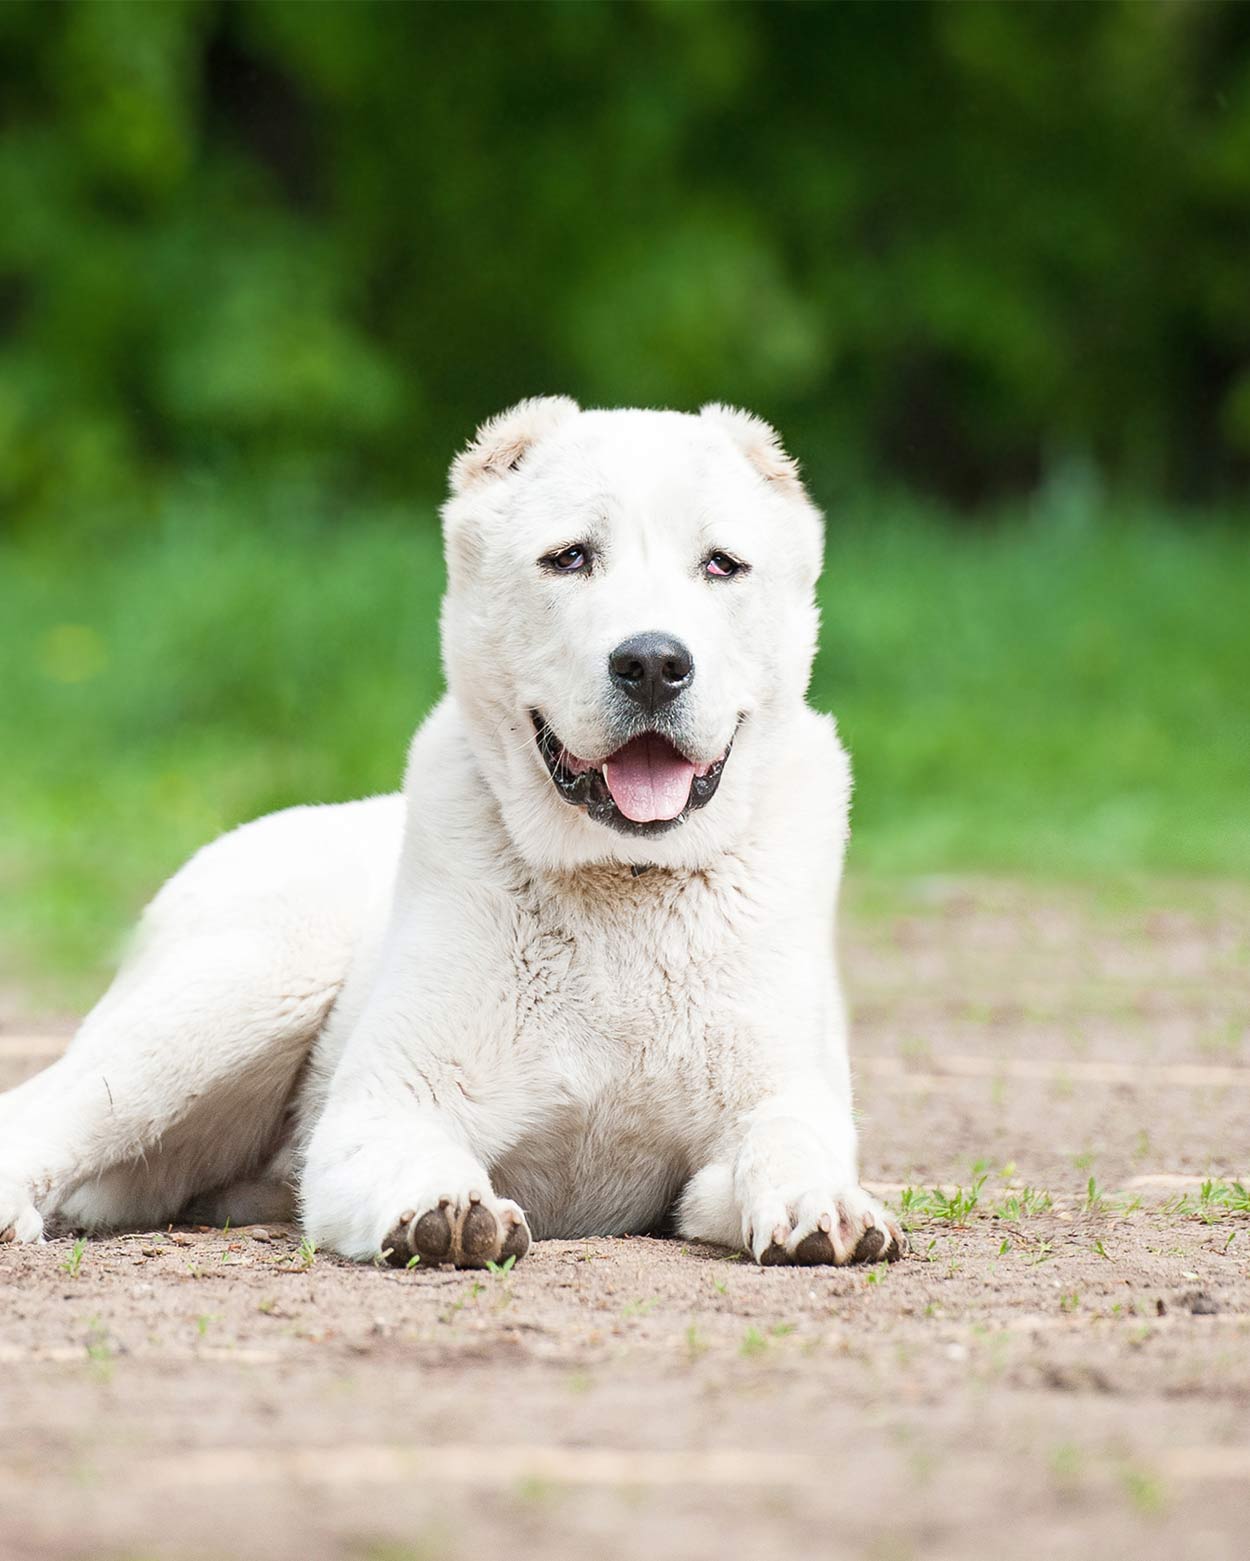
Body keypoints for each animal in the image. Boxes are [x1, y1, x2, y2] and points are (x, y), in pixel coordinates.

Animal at [0, 402, 905, 1267]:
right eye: (569, 558)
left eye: (721, 564)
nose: (652, 663)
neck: (623, 882)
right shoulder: (385, 1110)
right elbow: (420, 1157)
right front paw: (446, 1209)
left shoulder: (762, 1120)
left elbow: (784, 1147)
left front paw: (825, 1206)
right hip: (243, 992)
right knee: (46, 1110)